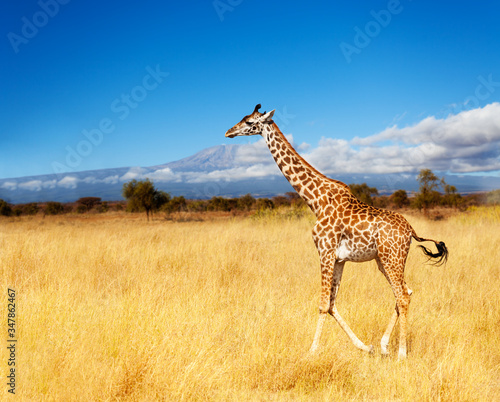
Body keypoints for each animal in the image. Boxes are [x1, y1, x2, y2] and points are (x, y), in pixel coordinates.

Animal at [225, 103, 448, 358]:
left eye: (250, 122)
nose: (229, 132)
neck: (315, 201)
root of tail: (411, 229)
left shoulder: (324, 250)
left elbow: (323, 304)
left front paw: (311, 352)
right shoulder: (339, 258)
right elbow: (332, 304)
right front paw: (365, 346)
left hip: (392, 258)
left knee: (402, 296)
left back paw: (401, 353)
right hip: (384, 260)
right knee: (406, 292)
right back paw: (383, 345)